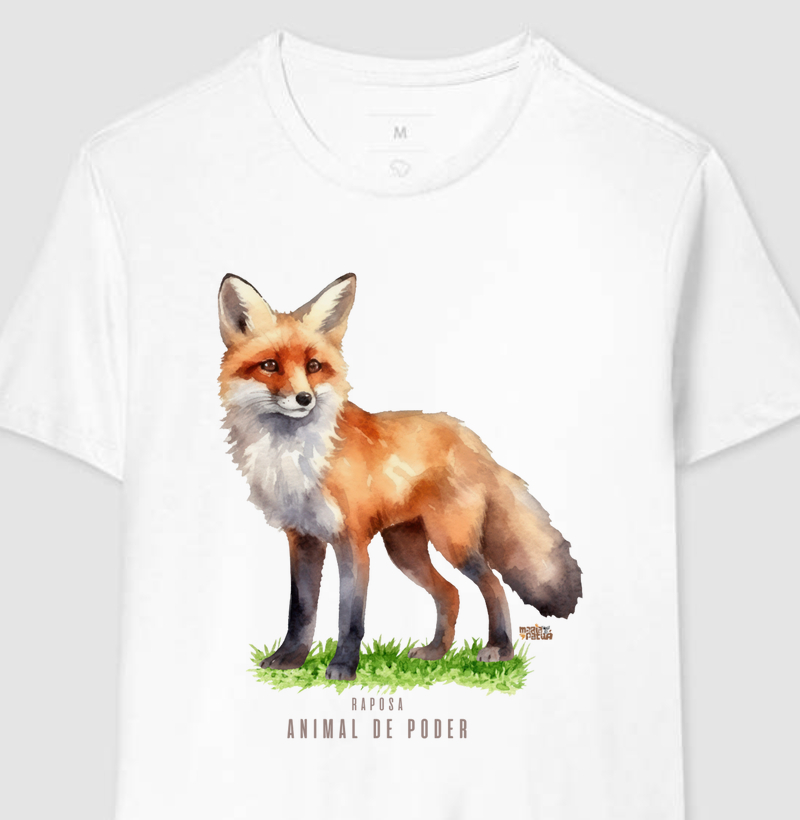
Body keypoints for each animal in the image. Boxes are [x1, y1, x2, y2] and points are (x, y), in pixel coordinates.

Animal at [218, 272, 582, 681]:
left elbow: (350, 617)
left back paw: (499, 648)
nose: (303, 399)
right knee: (451, 593)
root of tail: (472, 439)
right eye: (269, 365)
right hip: (405, 550)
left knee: (492, 585)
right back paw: (437, 651)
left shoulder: (352, 542)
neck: (294, 455)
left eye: (313, 366)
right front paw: (290, 659)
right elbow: (301, 611)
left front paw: (343, 667)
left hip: (452, 543)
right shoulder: (303, 539)